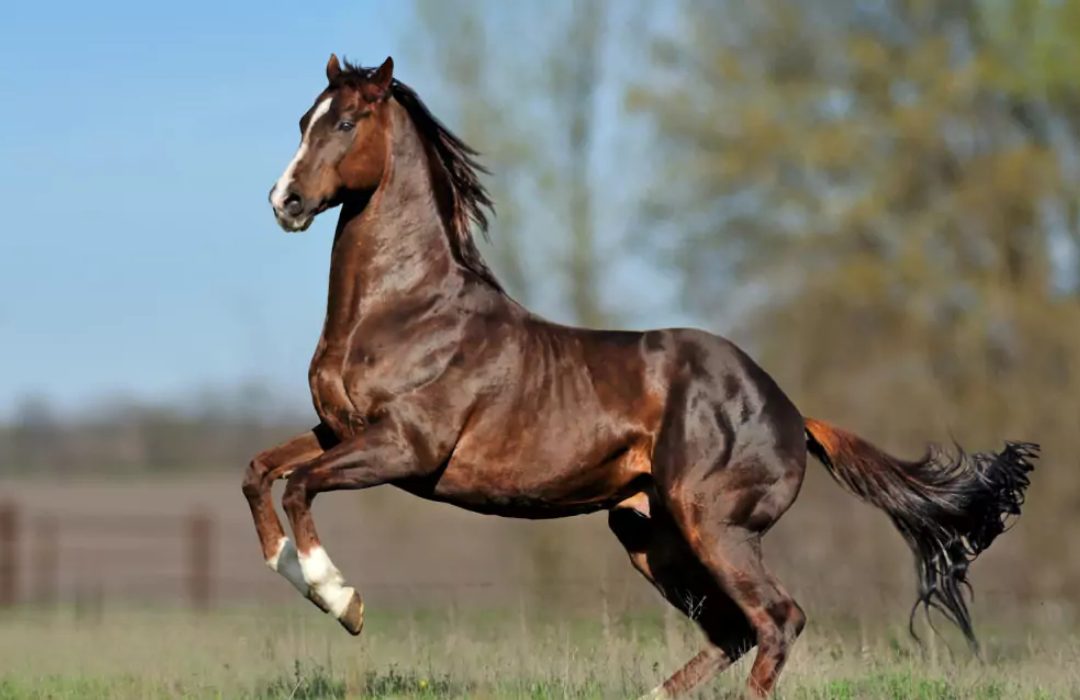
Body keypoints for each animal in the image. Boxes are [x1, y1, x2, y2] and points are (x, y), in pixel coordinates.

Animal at [242, 54, 1038, 698]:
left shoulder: (406, 448)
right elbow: (261, 472)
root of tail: (792, 411)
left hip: (714, 525)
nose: (283, 202)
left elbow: (302, 485)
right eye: (305, 120)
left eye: (346, 122)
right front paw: (292, 569)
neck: (408, 310)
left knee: (778, 620)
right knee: (734, 632)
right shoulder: (339, 430)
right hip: (648, 532)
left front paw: (341, 600)